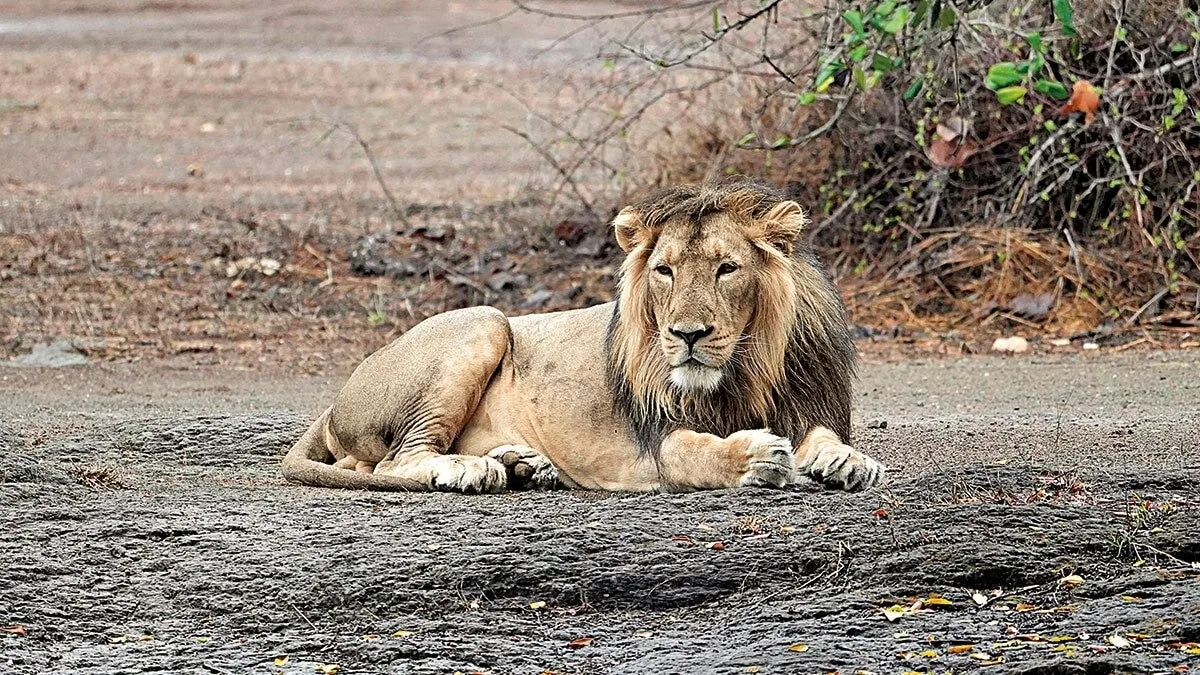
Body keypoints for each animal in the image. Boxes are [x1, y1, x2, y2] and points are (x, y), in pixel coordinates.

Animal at [281, 180, 885, 493]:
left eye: (726, 268)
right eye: (664, 271)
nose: (687, 335)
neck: (746, 369)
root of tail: (337, 399)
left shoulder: (809, 404)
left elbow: (825, 435)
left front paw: (846, 461)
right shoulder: (657, 442)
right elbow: (699, 454)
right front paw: (758, 456)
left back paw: (524, 464)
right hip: (484, 320)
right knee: (391, 462)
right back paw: (471, 469)